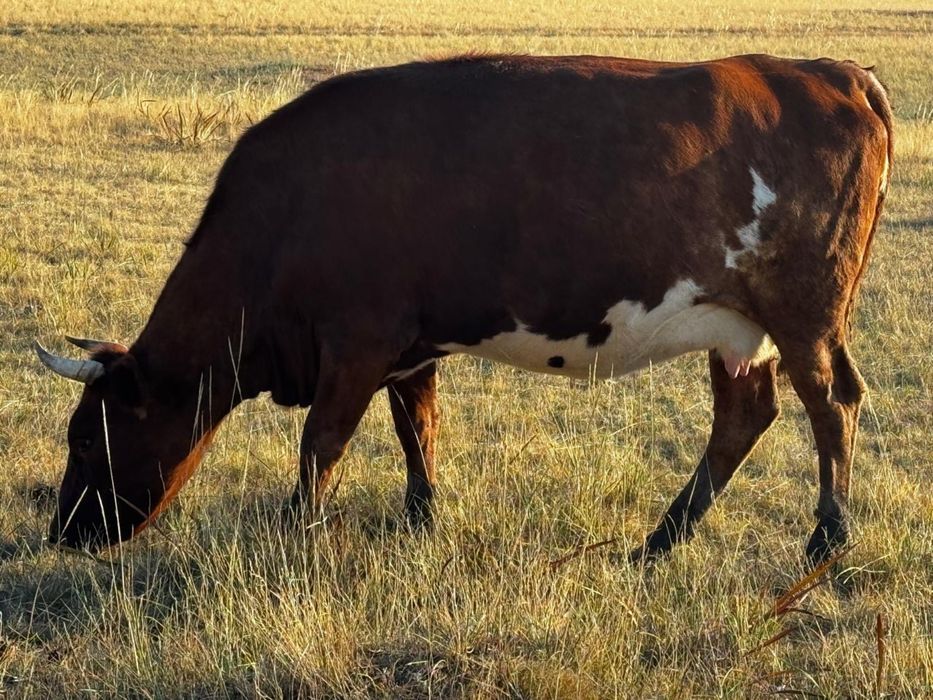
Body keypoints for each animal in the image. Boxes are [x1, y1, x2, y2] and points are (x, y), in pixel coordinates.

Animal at [35, 53, 892, 565]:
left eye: (83, 438)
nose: (64, 535)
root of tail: (829, 71)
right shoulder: (408, 347)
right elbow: (416, 428)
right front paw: (420, 519)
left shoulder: (355, 344)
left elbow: (322, 443)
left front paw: (297, 534)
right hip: (739, 328)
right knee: (743, 417)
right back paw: (658, 542)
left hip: (806, 313)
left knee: (833, 403)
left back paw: (826, 539)